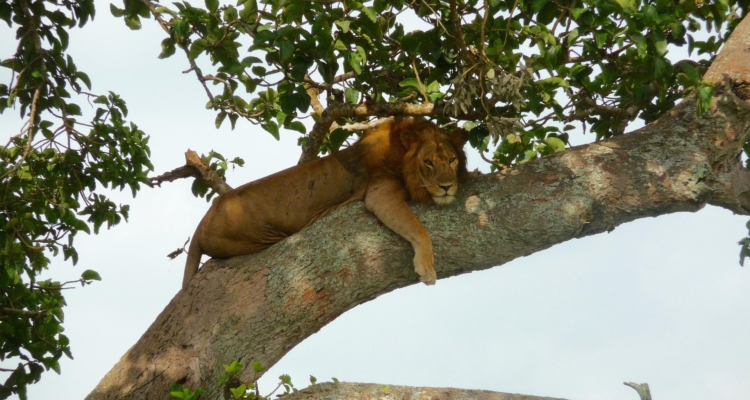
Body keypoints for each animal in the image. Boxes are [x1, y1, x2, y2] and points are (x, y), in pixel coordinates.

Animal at [182, 118, 469, 289]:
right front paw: (426, 268)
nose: (447, 186)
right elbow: (419, 229)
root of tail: (199, 226)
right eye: (429, 162)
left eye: (452, 160)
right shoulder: (380, 193)